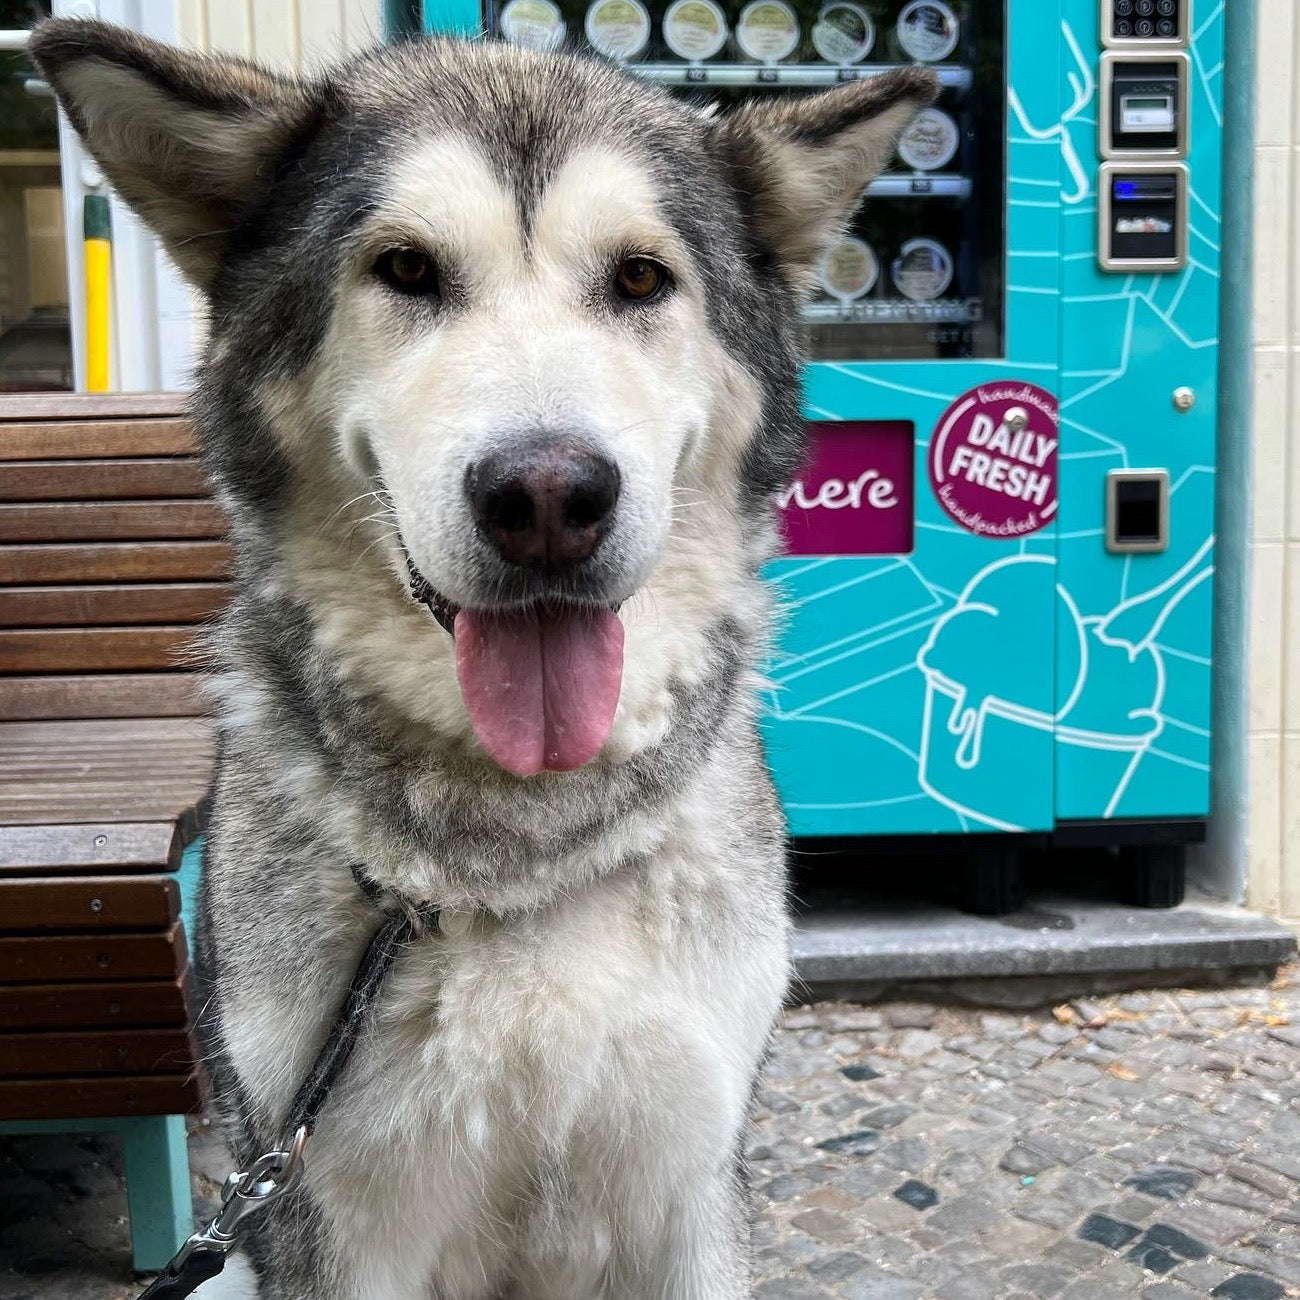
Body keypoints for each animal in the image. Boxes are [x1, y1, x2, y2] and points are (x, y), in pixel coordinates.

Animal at [30, 22, 935, 1300]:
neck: (521, 850)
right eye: (406, 269)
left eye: (640, 279)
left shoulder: (687, 1186)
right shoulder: (324, 1212)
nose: (548, 497)